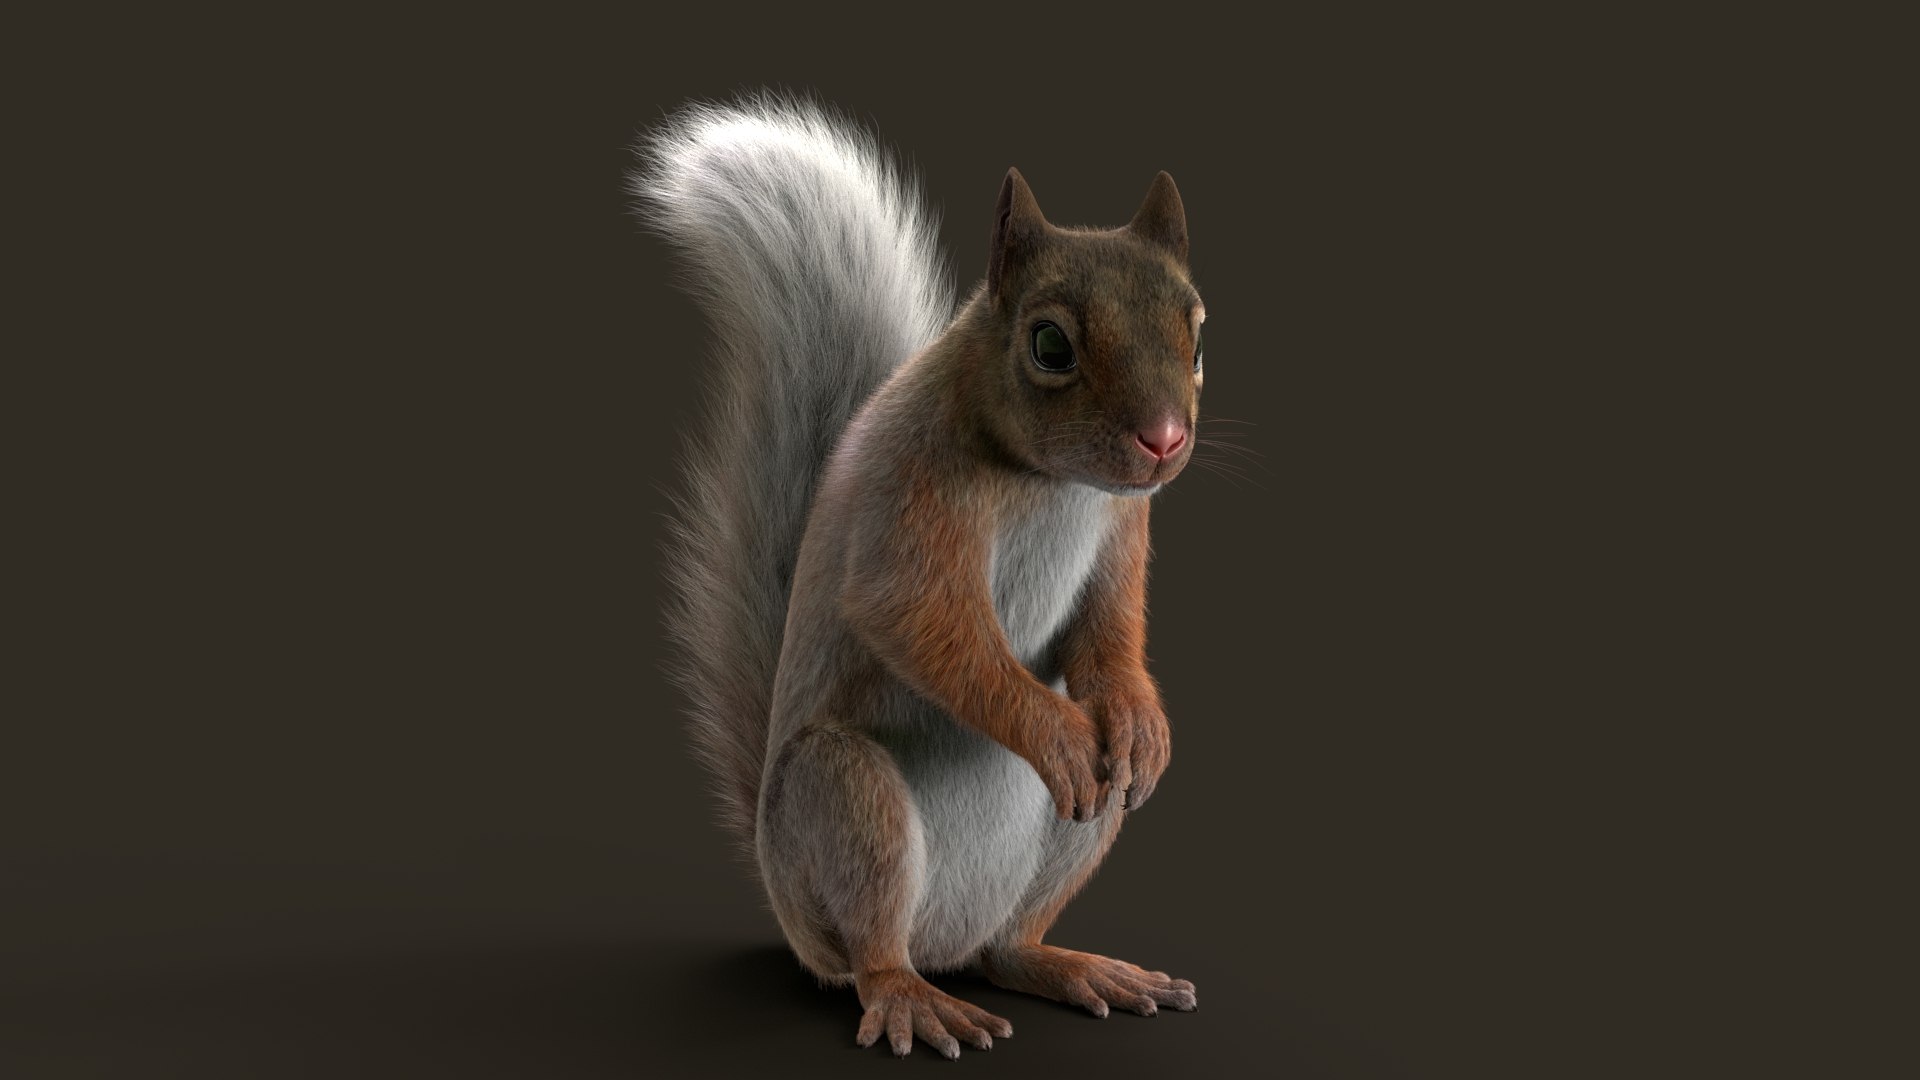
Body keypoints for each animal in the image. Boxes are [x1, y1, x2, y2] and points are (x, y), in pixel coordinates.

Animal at [632, 95, 1205, 1058]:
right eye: (1050, 344)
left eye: (1199, 333)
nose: (1164, 440)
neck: (1051, 483)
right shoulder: (912, 496)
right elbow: (920, 623)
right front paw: (1054, 734)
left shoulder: (1125, 526)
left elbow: (1111, 626)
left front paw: (1138, 720)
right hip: (841, 799)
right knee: (871, 948)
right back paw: (909, 997)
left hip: (1076, 837)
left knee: (1010, 941)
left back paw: (1067, 964)